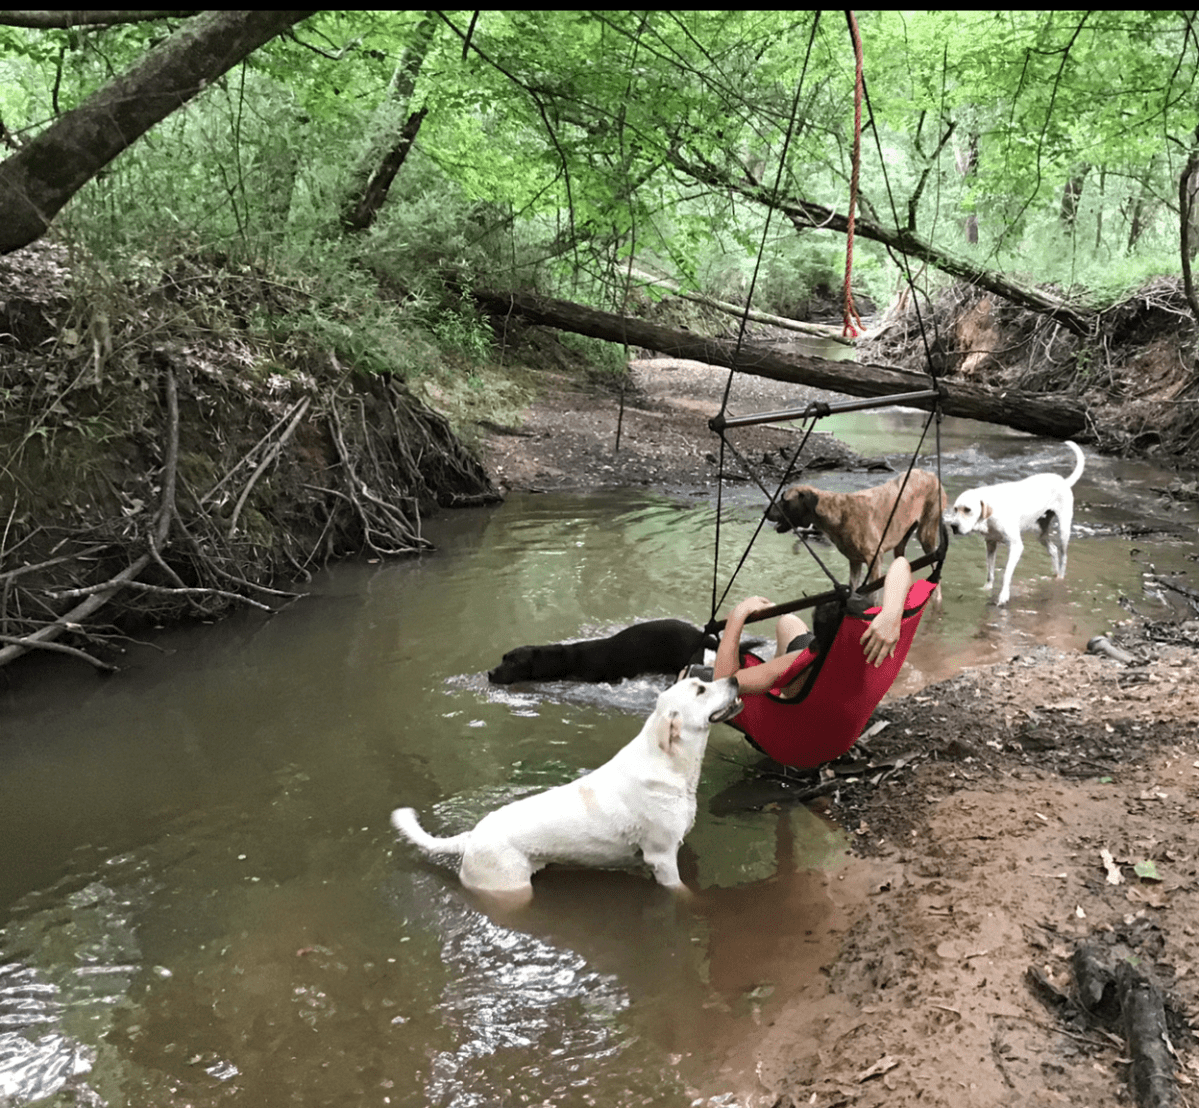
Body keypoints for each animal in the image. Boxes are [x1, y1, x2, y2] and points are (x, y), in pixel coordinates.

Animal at [391, 675, 742, 903]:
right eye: (700, 689)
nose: (737, 678)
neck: (672, 763)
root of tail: (471, 838)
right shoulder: (662, 858)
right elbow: (684, 893)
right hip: (512, 891)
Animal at [765, 469, 946, 591]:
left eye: (783, 499)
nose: (765, 511)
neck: (838, 512)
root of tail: (931, 474)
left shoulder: (874, 560)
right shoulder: (855, 562)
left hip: (926, 533)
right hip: (901, 543)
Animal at [943, 440, 1085, 606]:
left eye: (967, 509)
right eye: (955, 509)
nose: (953, 526)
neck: (990, 515)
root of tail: (1063, 481)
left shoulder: (1016, 546)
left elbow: (1006, 573)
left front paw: (1003, 596)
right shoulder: (990, 544)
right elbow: (990, 572)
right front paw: (987, 588)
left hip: (1063, 530)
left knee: (1063, 555)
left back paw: (1060, 577)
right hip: (1040, 532)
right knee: (1053, 550)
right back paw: (1054, 575)